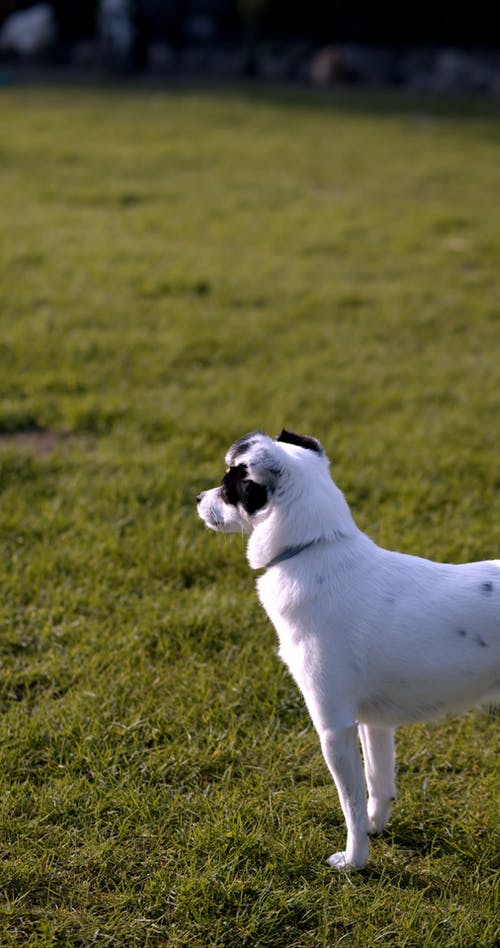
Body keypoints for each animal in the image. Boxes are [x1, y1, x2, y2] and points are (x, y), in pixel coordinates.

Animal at [196, 430, 500, 868]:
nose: (197, 498)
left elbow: (350, 802)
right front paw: (376, 831)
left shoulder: (334, 728)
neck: (314, 548)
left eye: (229, 484)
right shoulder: (376, 724)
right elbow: (378, 786)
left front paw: (354, 860)